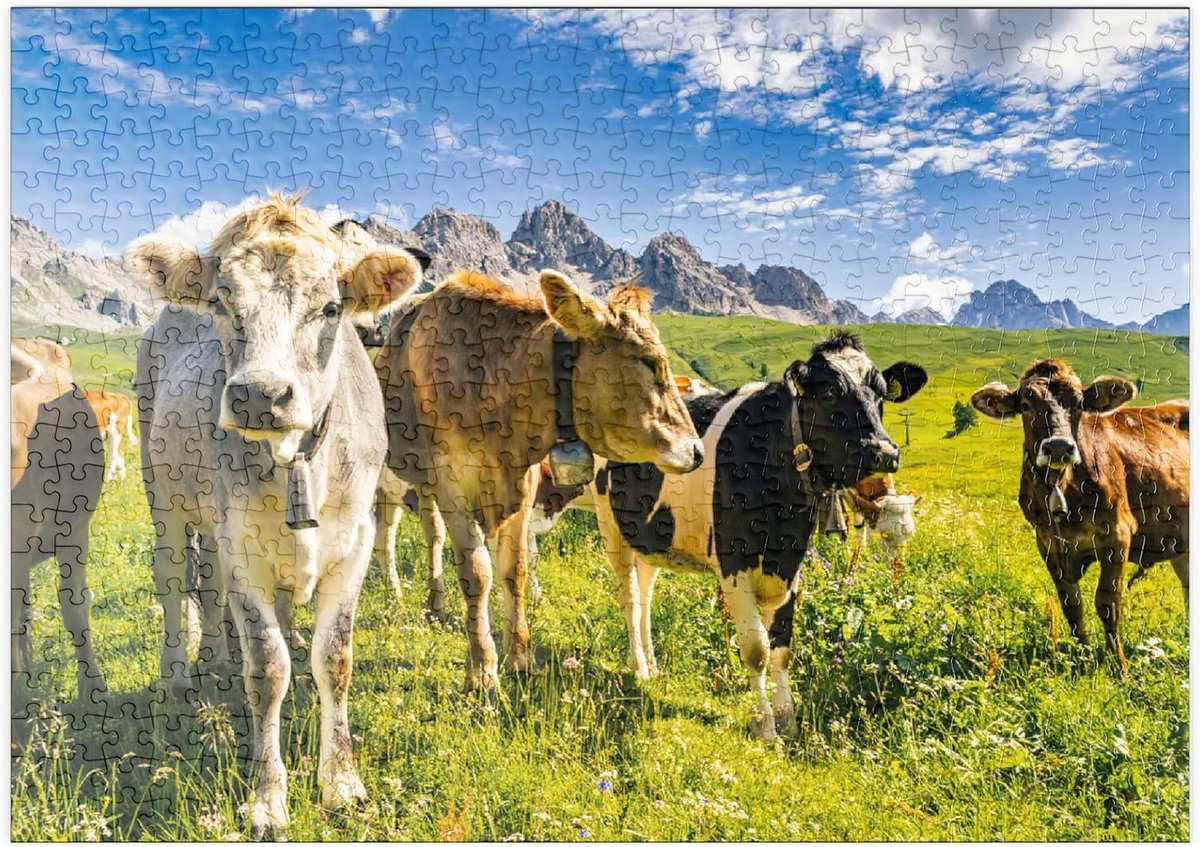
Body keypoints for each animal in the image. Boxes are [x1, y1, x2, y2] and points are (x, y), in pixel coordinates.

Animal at [126, 195, 424, 834]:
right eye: (221, 301)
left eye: (332, 306)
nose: (260, 395)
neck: (296, 461)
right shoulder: (245, 554)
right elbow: (268, 670)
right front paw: (268, 798)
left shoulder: (354, 544)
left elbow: (333, 659)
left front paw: (341, 782)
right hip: (160, 492)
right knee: (173, 581)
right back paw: (181, 674)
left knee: (211, 586)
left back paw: (218, 656)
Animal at [376, 270, 704, 691]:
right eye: (648, 361)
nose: (696, 450)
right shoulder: (450, 480)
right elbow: (476, 572)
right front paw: (483, 669)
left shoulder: (524, 480)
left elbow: (514, 569)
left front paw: (520, 656)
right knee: (404, 535)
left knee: (432, 534)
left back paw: (436, 605)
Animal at [591, 333, 927, 740]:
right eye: (830, 391)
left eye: (880, 394)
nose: (884, 452)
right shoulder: (733, 563)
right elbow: (757, 649)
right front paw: (766, 728)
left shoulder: (790, 564)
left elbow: (782, 649)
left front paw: (788, 721)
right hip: (610, 526)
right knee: (629, 598)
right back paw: (640, 667)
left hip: (650, 535)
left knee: (645, 593)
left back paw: (653, 665)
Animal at [971, 360, 1189, 676]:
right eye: (1025, 404)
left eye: (1078, 404)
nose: (1059, 447)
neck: (1062, 488)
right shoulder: (1048, 542)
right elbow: (1071, 604)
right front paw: (1081, 658)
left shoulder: (1117, 534)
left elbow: (1107, 603)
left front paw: (1119, 667)